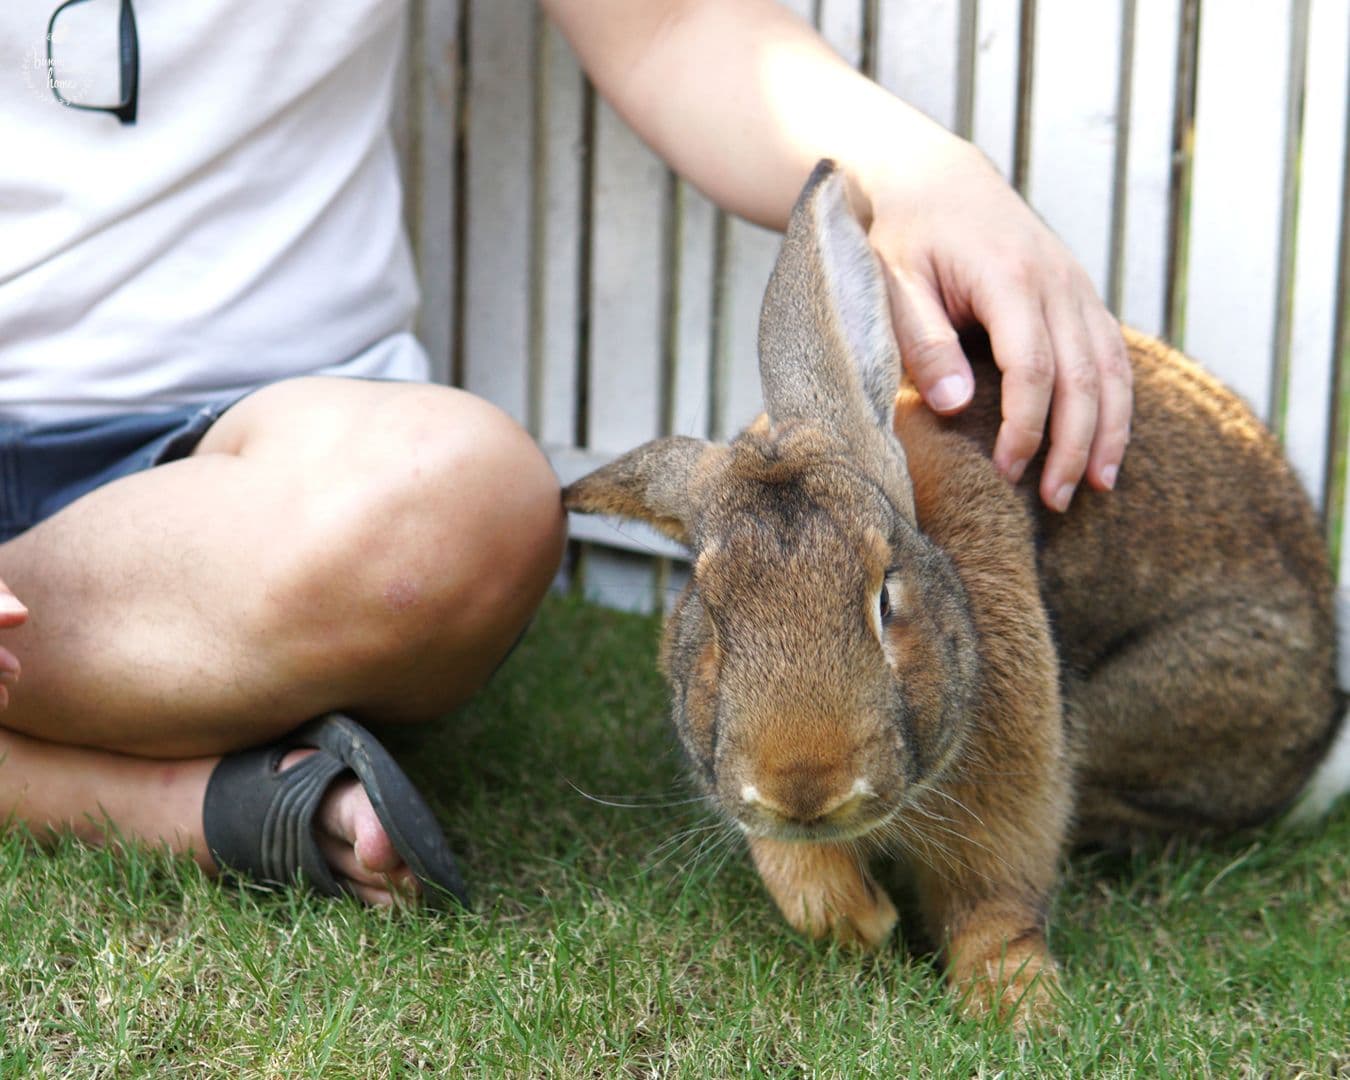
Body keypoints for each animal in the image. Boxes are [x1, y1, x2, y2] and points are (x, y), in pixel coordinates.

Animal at [562, 159, 1344, 1024]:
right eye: (709, 612)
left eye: (884, 597)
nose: (805, 786)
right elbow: (793, 867)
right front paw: (860, 922)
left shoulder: (1015, 785)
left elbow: (993, 901)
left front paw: (1019, 1007)